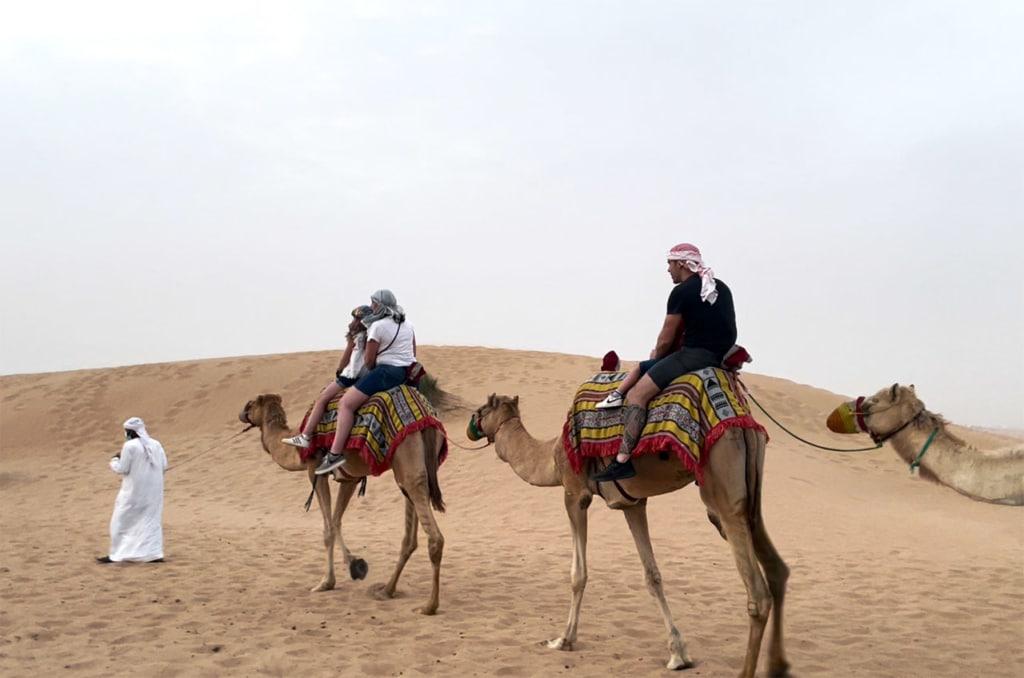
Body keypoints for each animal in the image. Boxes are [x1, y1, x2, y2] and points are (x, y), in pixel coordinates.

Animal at [241, 393, 450, 614]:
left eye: (251, 404)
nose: (242, 414)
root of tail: (427, 420)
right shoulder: (350, 479)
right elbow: (335, 521)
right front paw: (355, 565)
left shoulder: (314, 469)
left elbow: (327, 529)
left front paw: (327, 582)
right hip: (414, 470)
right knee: (410, 538)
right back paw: (386, 590)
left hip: (408, 462)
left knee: (434, 538)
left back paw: (429, 606)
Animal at [468, 393, 786, 678]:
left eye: (482, 408)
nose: (471, 426)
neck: (552, 457)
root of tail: (743, 421)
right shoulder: (633, 503)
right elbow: (652, 576)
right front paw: (678, 655)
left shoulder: (574, 493)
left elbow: (578, 574)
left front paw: (563, 639)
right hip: (750, 496)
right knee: (777, 570)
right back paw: (778, 666)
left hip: (721, 487)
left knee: (758, 594)